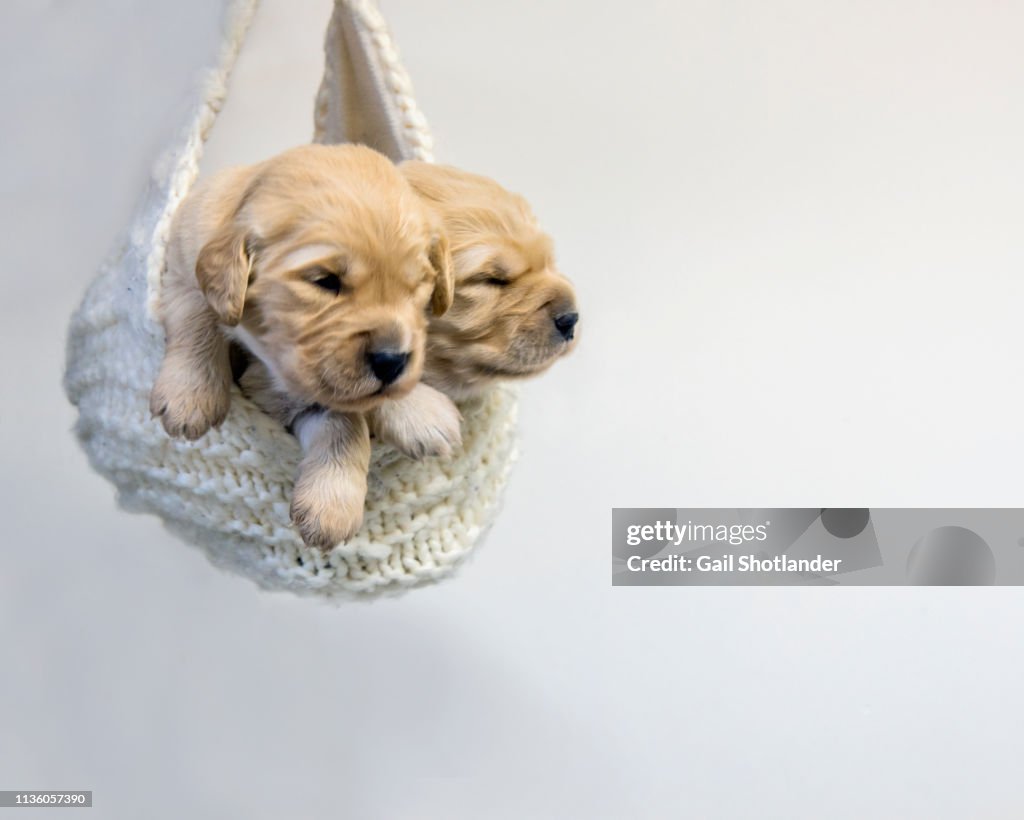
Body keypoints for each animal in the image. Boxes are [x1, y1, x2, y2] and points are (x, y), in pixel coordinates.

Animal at [150, 144, 452, 548]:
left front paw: (417, 409)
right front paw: (190, 397)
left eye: (417, 286)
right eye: (325, 282)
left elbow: (345, 418)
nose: (391, 360)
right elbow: (197, 315)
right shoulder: (183, 269)